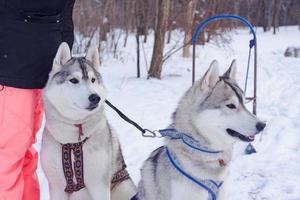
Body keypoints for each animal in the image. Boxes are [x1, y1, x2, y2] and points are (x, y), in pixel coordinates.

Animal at [40, 43, 136, 200]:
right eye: (74, 80)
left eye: (93, 80)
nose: (95, 98)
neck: (73, 141)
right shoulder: (57, 187)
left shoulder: (100, 185)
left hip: (124, 188)